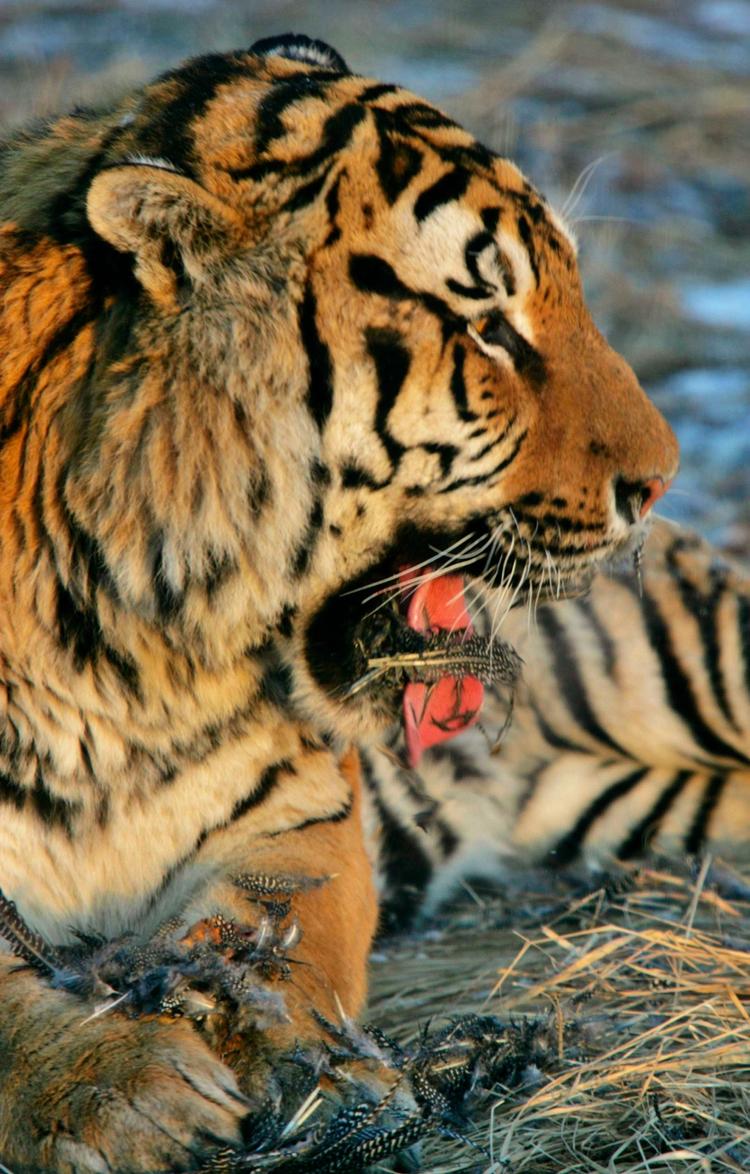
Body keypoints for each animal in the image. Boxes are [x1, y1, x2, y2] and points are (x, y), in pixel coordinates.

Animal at [0, 32, 679, 1173]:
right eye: (488, 328)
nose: (663, 483)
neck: (124, 652)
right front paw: (122, 1089)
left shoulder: (302, 810)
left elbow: (289, 933)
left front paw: (286, 1044)